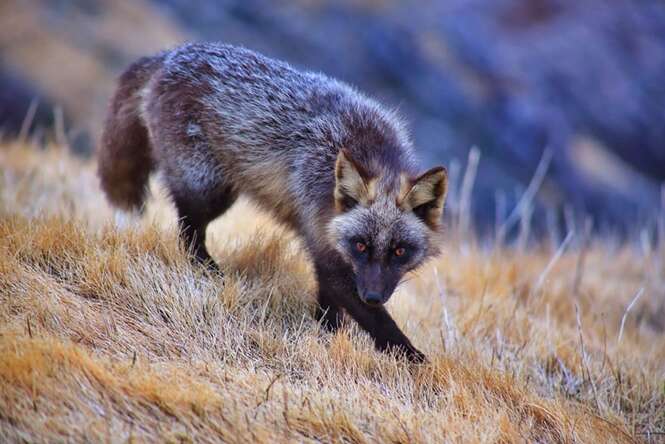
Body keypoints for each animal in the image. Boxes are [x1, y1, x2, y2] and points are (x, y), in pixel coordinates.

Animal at [97, 41, 446, 362]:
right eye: (360, 245)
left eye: (399, 251)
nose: (373, 296)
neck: (370, 151)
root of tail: (171, 54)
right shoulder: (324, 245)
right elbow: (376, 321)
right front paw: (415, 360)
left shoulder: (330, 252)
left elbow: (330, 307)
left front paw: (327, 336)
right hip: (209, 191)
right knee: (188, 231)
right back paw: (208, 272)